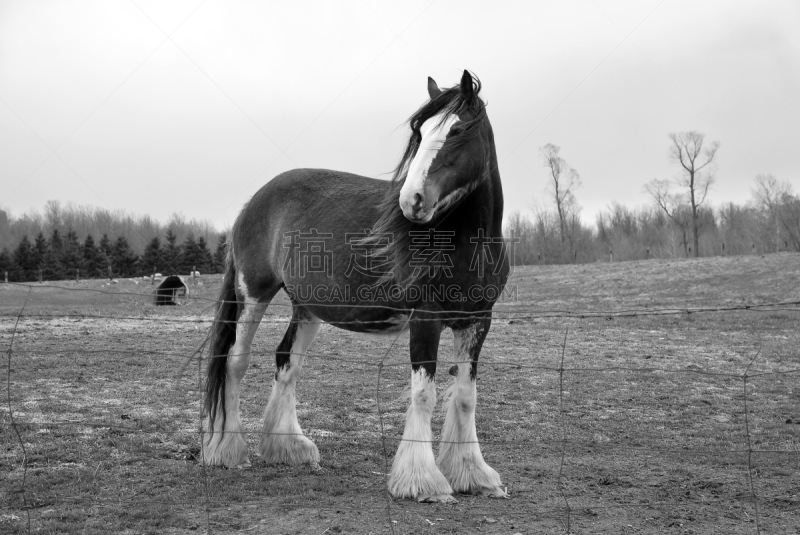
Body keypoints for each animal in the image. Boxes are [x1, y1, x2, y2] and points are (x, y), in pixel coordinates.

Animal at [203, 70, 510, 502]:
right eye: (419, 132)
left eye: (458, 130)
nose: (412, 200)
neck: (462, 243)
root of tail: (256, 200)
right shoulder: (426, 319)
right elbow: (425, 394)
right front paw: (422, 482)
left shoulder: (477, 321)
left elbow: (466, 397)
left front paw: (474, 475)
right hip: (253, 294)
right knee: (235, 361)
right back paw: (228, 450)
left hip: (308, 308)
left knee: (287, 362)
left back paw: (288, 448)